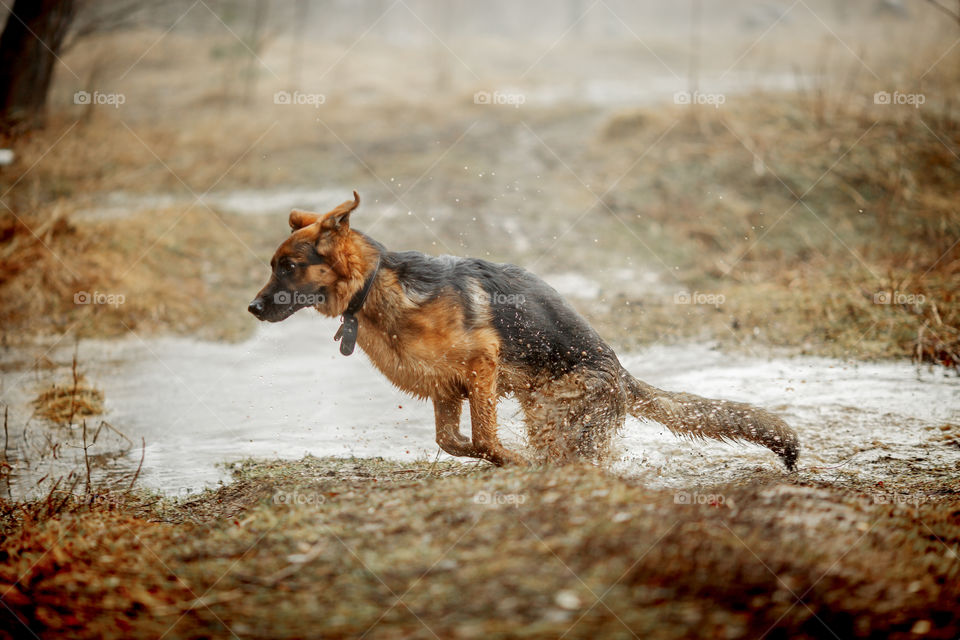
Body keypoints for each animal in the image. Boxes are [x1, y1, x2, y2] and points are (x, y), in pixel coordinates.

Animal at [248, 192, 796, 468]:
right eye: (274, 266)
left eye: (289, 267)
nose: (252, 308)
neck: (378, 287)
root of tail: (621, 374)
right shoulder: (447, 387)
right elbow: (454, 442)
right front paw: (498, 461)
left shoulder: (481, 368)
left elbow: (487, 439)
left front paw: (512, 461)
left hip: (558, 414)